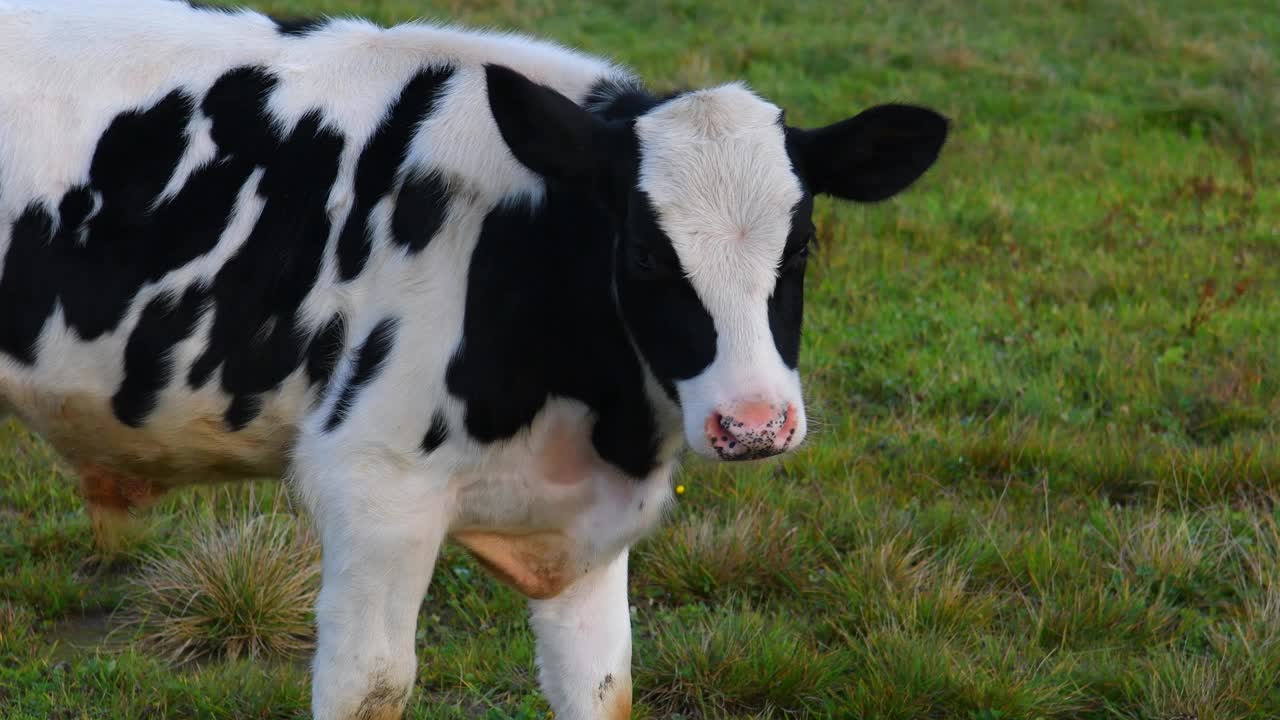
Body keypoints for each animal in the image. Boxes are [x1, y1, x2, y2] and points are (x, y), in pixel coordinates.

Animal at [0, 2, 942, 712]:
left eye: (802, 244)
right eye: (643, 254)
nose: (754, 424)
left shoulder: (586, 536)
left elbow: (604, 689)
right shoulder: (373, 489)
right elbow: (371, 688)